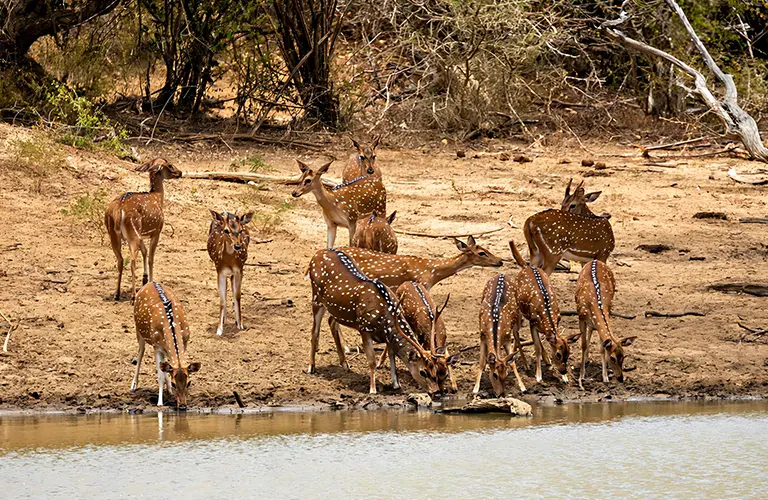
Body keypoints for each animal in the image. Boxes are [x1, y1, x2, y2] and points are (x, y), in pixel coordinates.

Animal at [104, 158, 182, 300]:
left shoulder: (141, 235)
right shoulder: (156, 231)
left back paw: (117, 294)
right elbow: (151, 257)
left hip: (113, 233)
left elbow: (144, 251)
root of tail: (119, 208)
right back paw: (133, 295)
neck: (157, 197)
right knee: (132, 260)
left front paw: (145, 279)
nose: (180, 172)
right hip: (132, 232)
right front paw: (150, 281)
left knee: (120, 260)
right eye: (169, 165)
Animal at [307, 248, 449, 396]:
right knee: (314, 330)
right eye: (423, 372)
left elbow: (392, 357)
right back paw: (311, 367)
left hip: (335, 310)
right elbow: (372, 361)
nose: (436, 391)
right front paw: (373, 389)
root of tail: (317, 254)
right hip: (316, 297)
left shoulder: (388, 337)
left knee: (331, 322)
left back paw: (345, 364)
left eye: (436, 370)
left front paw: (396, 384)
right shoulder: (364, 329)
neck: (385, 322)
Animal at [509, 240, 581, 384]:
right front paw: (538, 376)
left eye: (568, 353)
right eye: (558, 354)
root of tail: (526, 266)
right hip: (518, 308)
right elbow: (536, 347)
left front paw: (564, 378)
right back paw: (525, 364)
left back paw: (545, 359)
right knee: (516, 332)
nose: (563, 371)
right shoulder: (532, 322)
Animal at [575, 258, 636, 390]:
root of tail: (595, 260)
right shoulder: (580, 317)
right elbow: (583, 344)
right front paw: (581, 375)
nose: (620, 378)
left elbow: (602, 348)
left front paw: (605, 377)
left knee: (591, 329)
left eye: (623, 356)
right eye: (612, 358)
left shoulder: (608, 311)